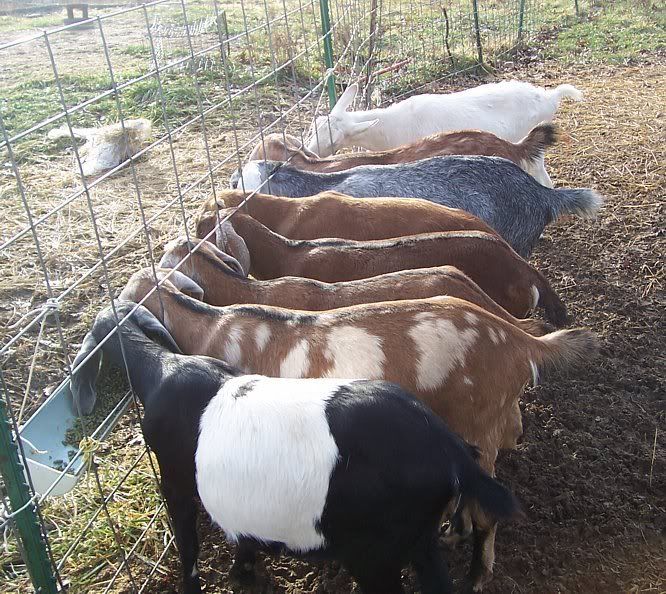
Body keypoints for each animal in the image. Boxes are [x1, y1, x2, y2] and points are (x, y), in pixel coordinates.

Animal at [72, 301, 519, 594]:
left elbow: (188, 543)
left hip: (376, 551)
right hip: (418, 537)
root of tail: (453, 453)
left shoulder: (176, 478)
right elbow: (243, 536)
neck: (162, 370)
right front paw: (244, 575)